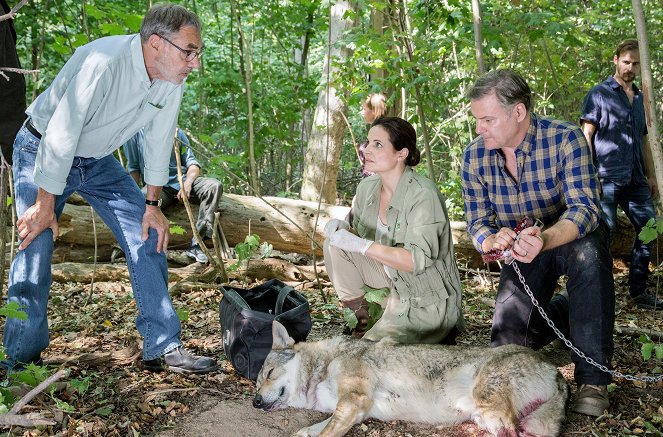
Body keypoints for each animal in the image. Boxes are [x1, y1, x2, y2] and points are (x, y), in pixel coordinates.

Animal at [252, 318, 568, 434]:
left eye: (269, 373)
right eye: (256, 382)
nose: (254, 401)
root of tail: (556, 371)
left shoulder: (353, 400)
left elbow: (325, 432)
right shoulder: (355, 410)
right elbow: (308, 431)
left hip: (491, 410)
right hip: (498, 422)